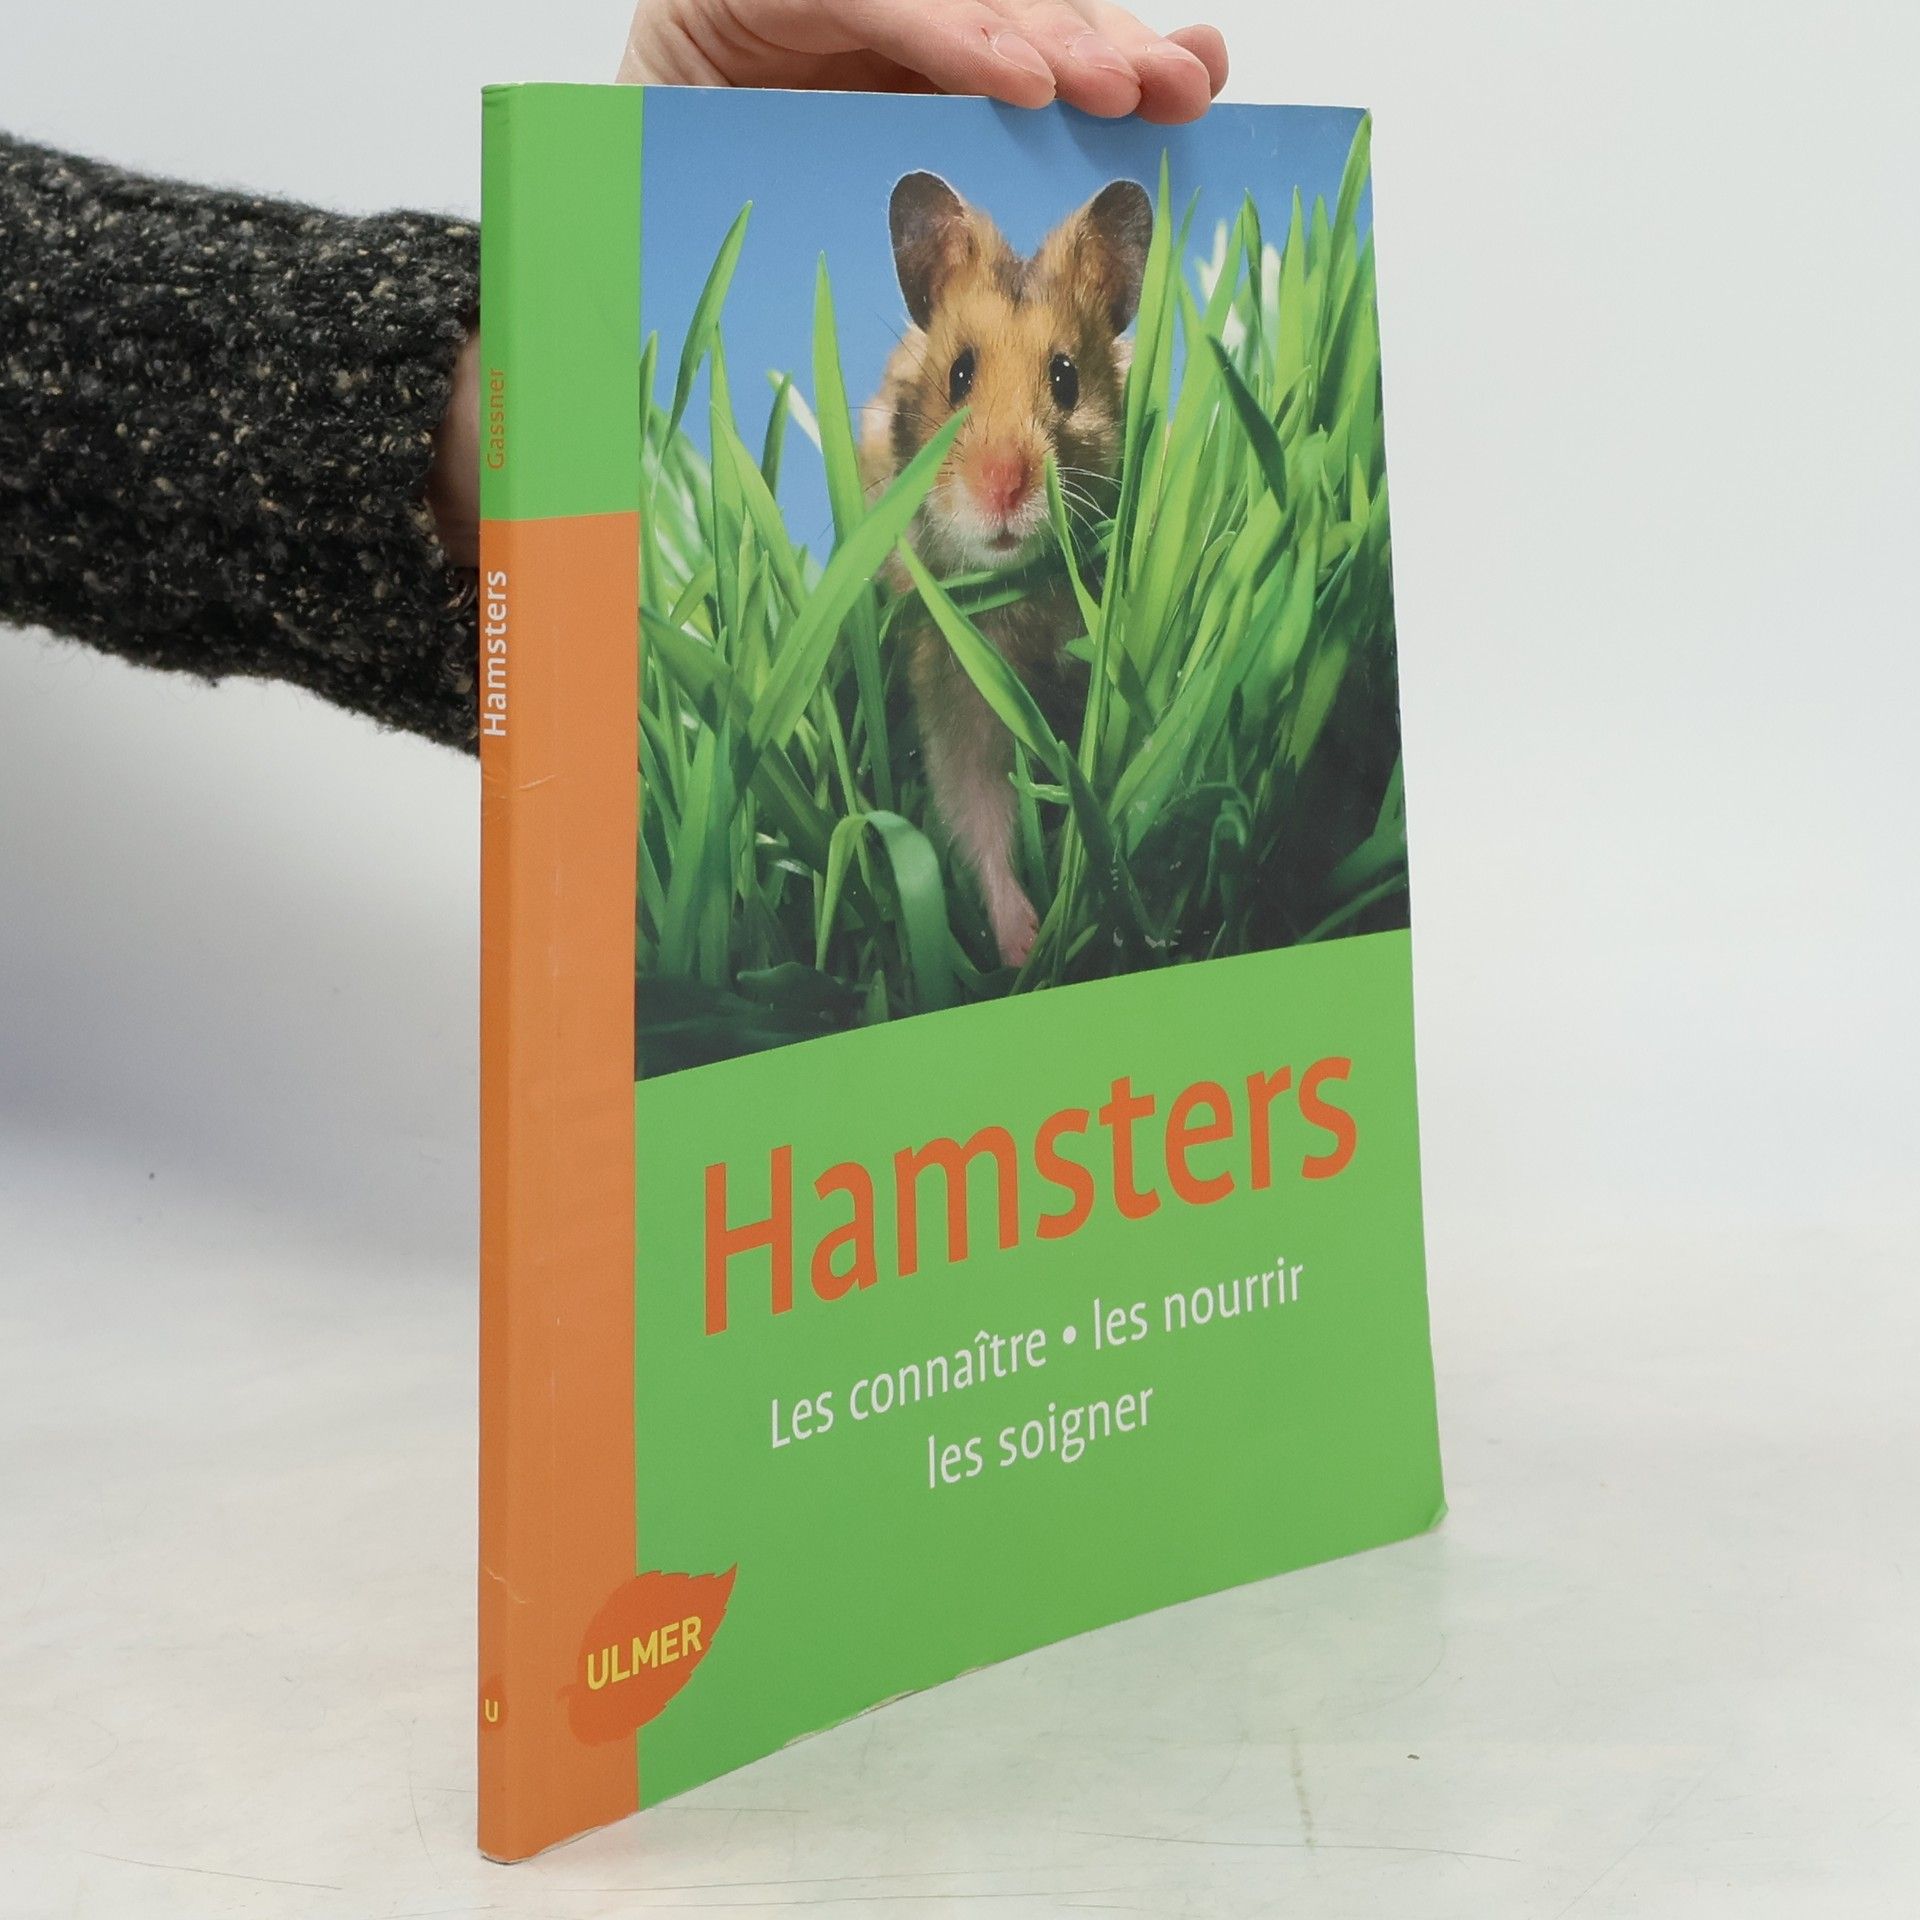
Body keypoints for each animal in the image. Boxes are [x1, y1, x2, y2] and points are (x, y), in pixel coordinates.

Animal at [862, 171, 1152, 968]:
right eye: (960, 375)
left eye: (1065, 378)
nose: (1002, 486)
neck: (1020, 595)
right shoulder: (951, 678)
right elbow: (978, 811)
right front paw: (1025, 948)